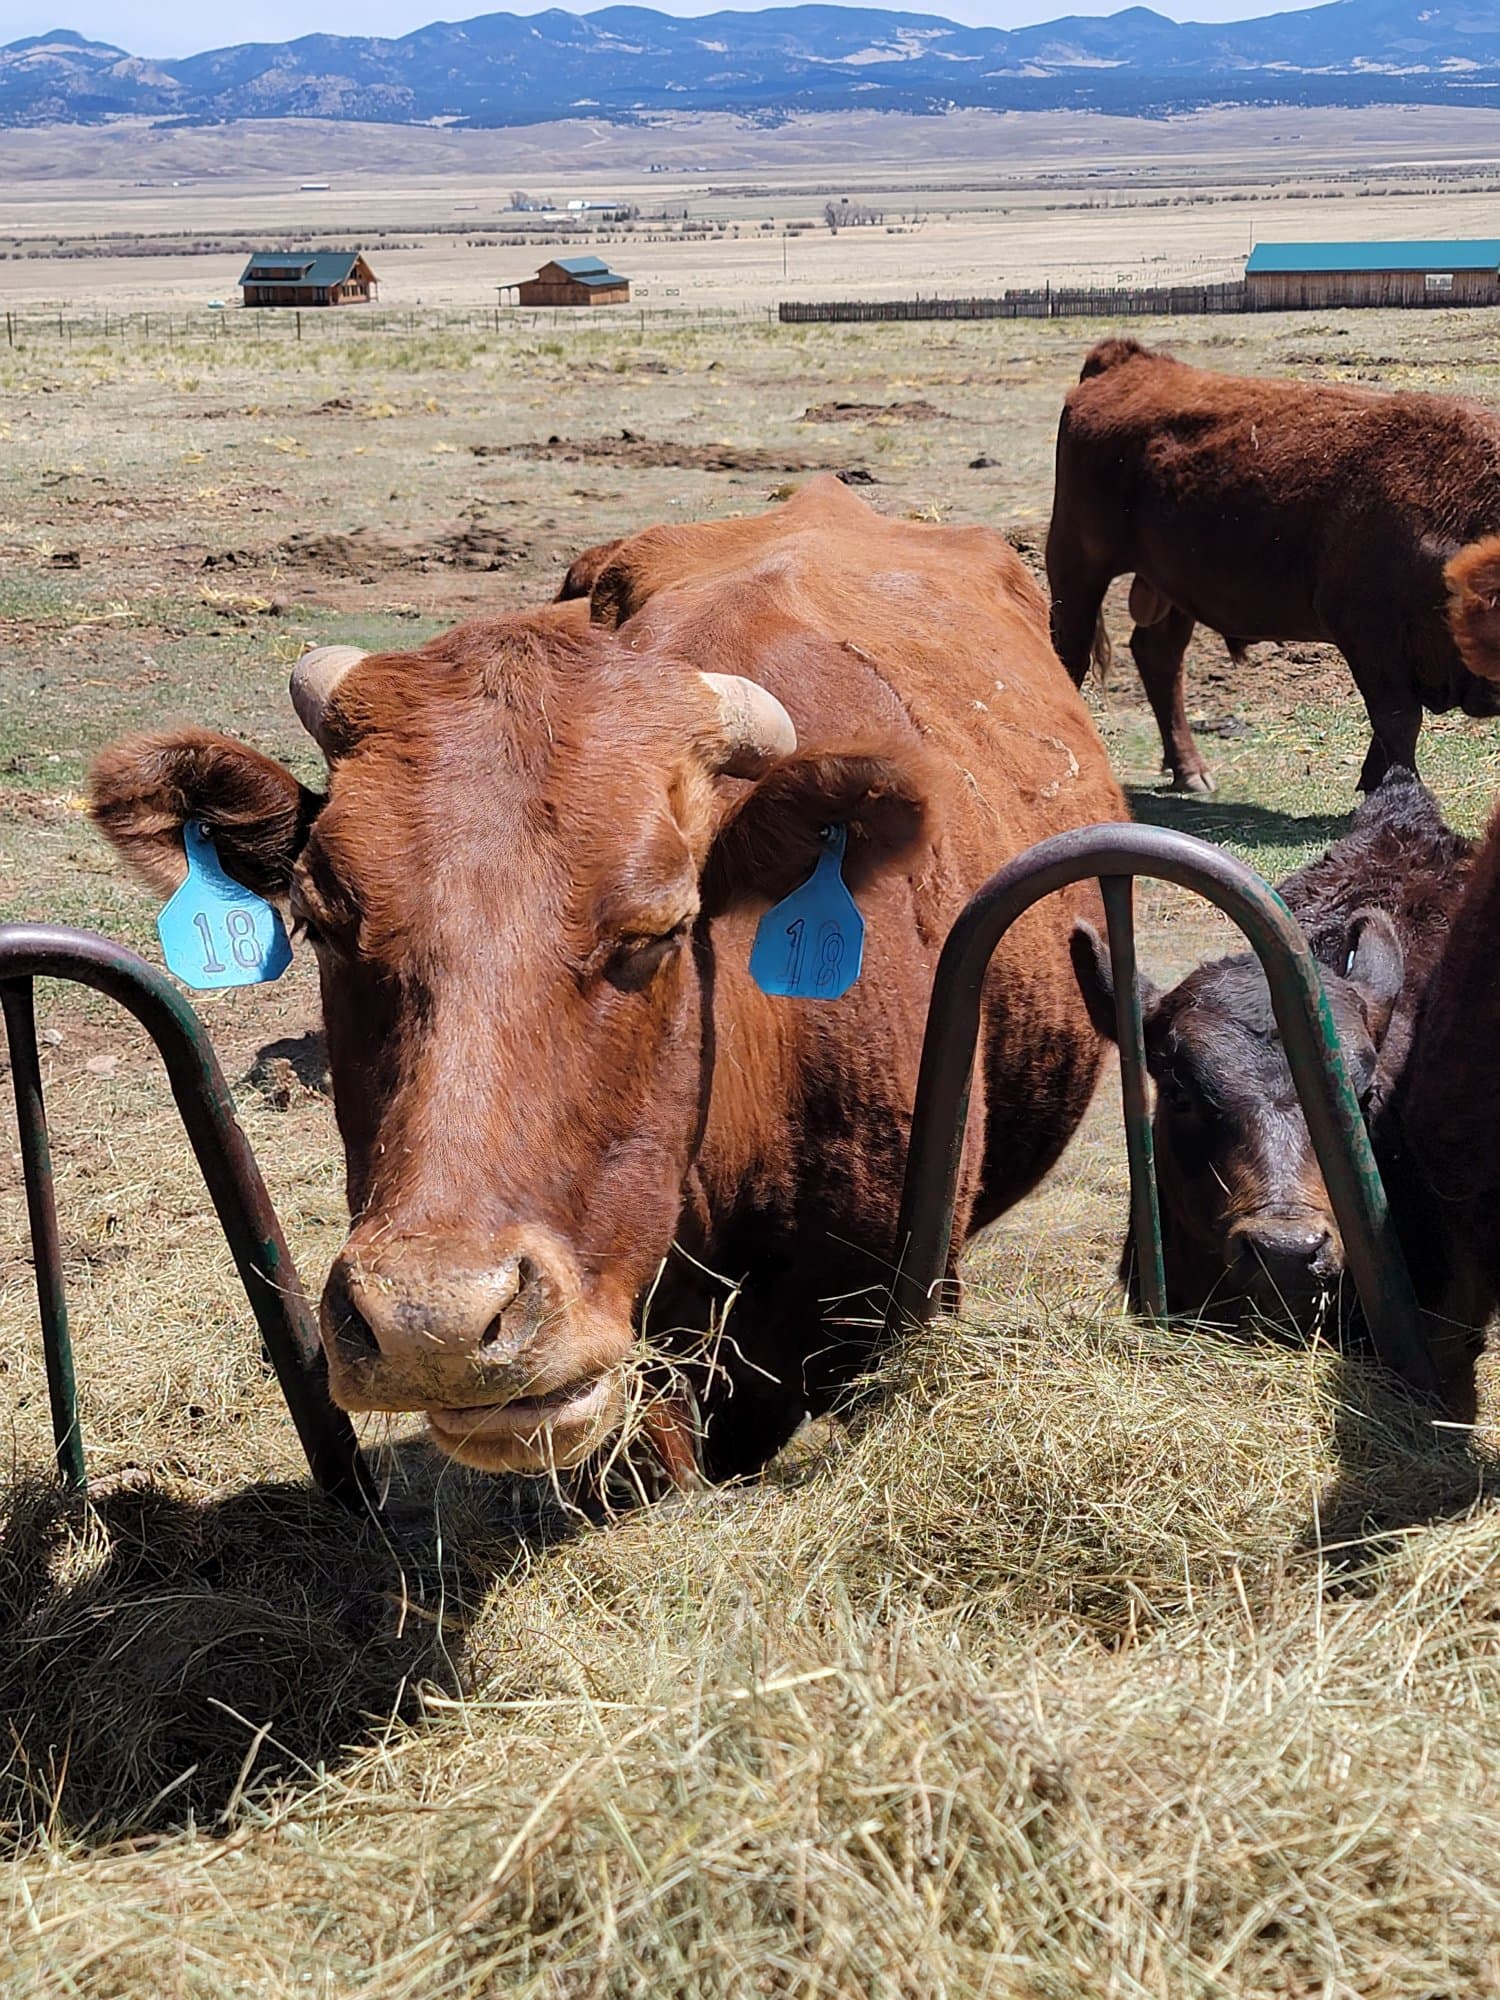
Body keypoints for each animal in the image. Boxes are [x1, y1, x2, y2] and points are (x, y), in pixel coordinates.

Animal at [1046, 337, 1500, 795]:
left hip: (1170, 585)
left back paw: (1191, 773)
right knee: (1070, 655)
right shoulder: (1368, 637)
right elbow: (1399, 723)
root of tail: (1124, 361)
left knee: (1159, 656)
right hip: (1075, 564)